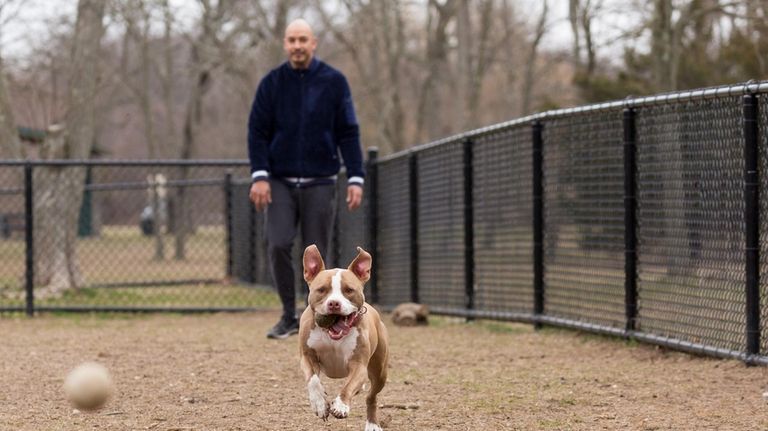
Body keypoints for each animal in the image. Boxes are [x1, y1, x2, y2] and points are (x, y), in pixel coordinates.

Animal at [300, 245, 390, 430]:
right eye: (321, 289)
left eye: (349, 290)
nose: (334, 303)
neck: (331, 335)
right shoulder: (307, 356)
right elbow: (313, 380)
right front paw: (320, 404)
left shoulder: (359, 365)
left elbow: (348, 386)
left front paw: (341, 405)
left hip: (380, 372)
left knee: (371, 397)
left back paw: (372, 423)